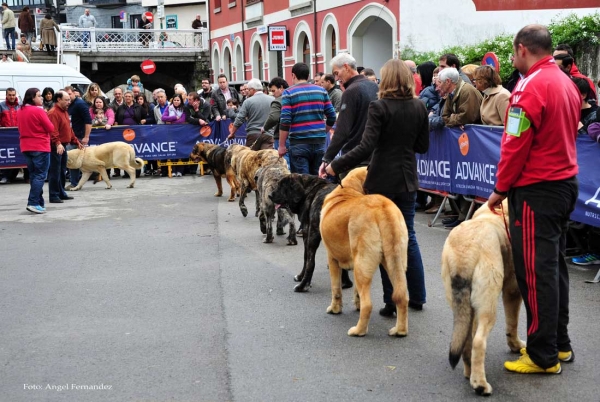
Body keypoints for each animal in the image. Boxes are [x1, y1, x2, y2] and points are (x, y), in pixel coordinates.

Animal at [322, 166, 410, 336]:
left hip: (362, 264)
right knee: (401, 297)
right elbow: (356, 292)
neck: (348, 189)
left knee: (368, 304)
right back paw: (399, 330)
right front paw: (355, 305)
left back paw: (358, 331)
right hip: (394, 262)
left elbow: (336, 289)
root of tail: (382, 208)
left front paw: (334, 309)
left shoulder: (332, 258)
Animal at [440, 201, 524, 396]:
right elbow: (512, 324)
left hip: (464, 305)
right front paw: (516, 345)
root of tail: (464, 255)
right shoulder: (513, 290)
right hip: (489, 305)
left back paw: (470, 373)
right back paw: (480, 385)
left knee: (466, 341)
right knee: (479, 342)